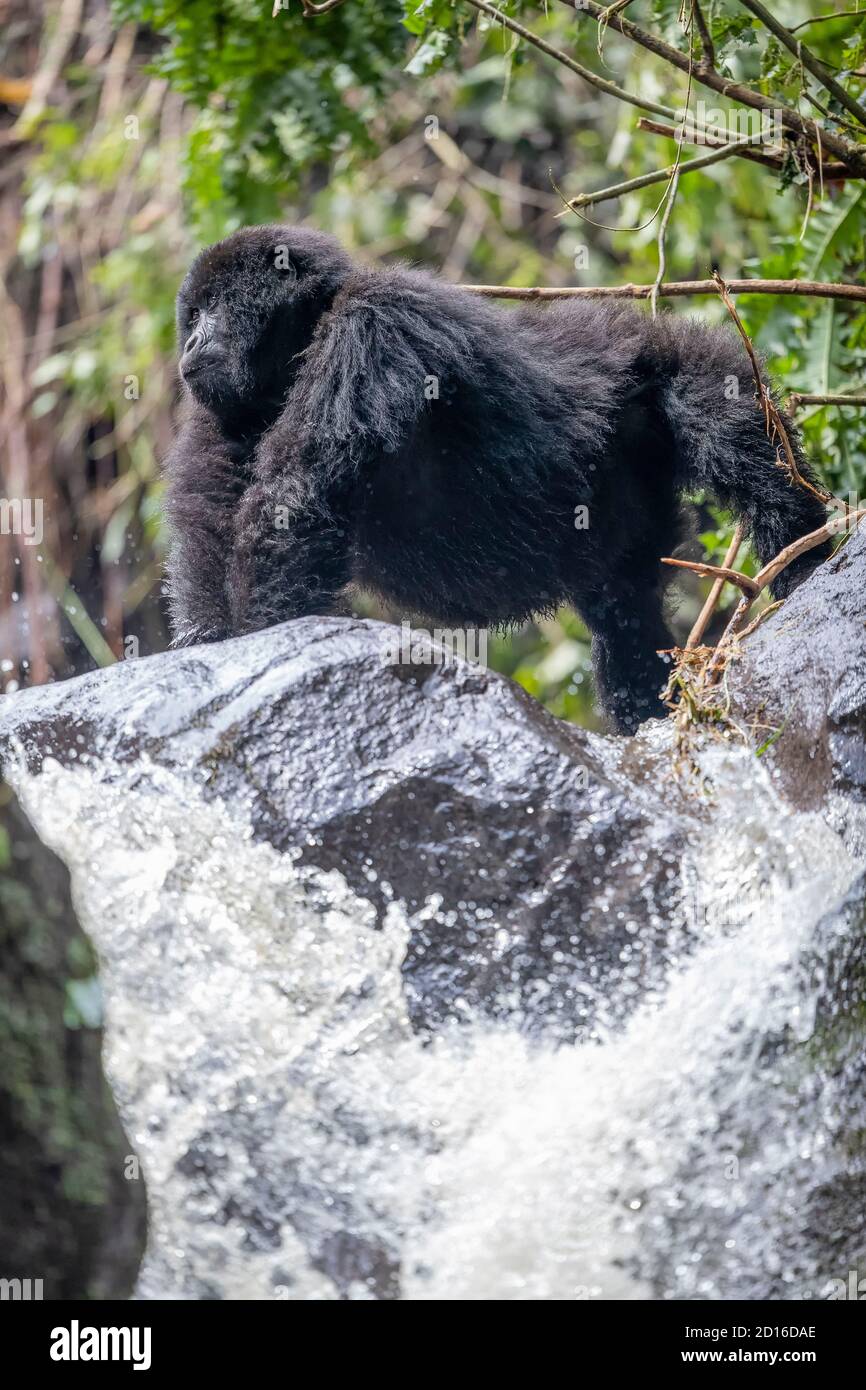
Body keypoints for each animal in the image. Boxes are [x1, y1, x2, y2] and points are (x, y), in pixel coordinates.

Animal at [164, 222, 834, 733]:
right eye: (191, 316)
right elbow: (211, 525)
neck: (308, 327)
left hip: (673, 362)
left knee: (723, 417)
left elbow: (300, 500)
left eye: (212, 308)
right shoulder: (226, 403)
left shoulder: (375, 321)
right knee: (621, 601)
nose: (190, 342)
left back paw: (799, 551)